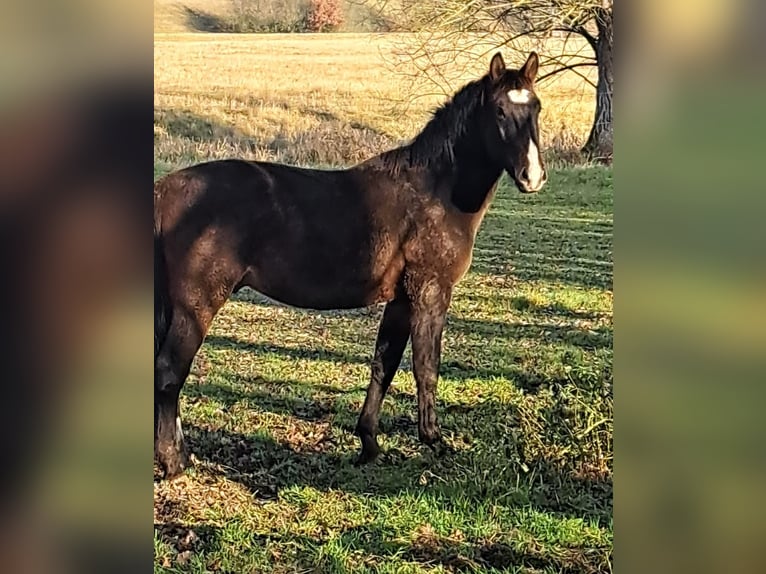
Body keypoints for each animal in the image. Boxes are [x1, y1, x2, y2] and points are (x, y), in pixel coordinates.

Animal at [154, 51, 547, 478]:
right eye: (499, 110)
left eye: (536, 108)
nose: (533, 176)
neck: (436, 192)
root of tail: (164, 191)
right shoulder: (430, 291)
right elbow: (426, 365)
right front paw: (435, 441)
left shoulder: (401, 299)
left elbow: (383, 365)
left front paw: (369, 444)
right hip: (196, 306)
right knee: (169, 372)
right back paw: (175, 464)